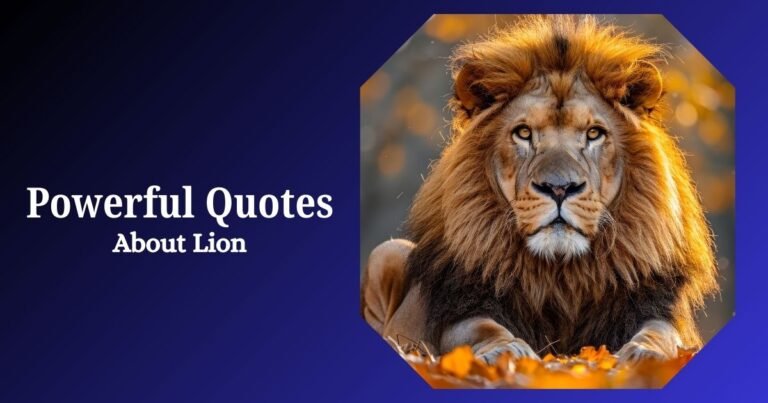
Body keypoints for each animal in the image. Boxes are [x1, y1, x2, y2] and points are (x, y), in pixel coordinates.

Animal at [361, 15, 719, 364]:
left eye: (593, 133)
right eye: (523, 133)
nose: (559, 188)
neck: (560, 274)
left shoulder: (653, 305)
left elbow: (661, 334)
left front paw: (646, 353)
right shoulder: (464, 306)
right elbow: (483, 329)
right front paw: (507, 350)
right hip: (388, 252)